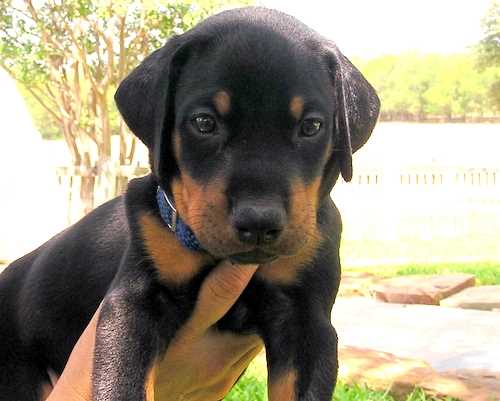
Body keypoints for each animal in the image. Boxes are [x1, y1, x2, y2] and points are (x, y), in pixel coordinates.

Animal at [0, 7, 376, 400]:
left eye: (312, 126)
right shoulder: (133, 300)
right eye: (204, 122)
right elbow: (122, 381)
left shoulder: (307, 320)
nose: (259, 221)